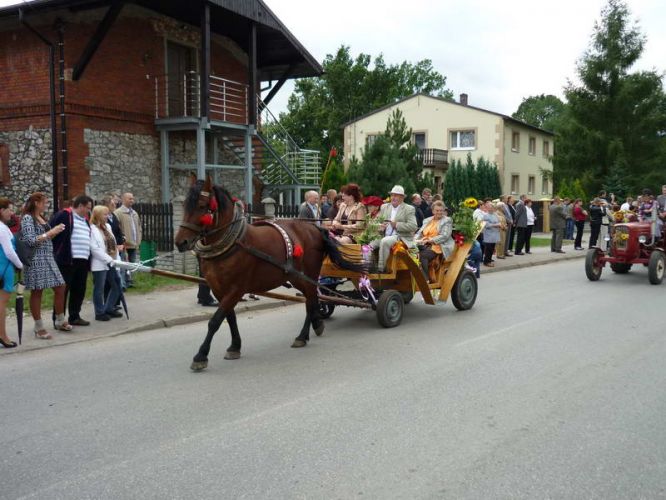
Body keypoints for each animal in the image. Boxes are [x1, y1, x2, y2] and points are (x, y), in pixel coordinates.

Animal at [175, 177, 364, 372]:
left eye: (202, 206)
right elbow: (229, 317)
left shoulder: (236, 289)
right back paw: (314, 326)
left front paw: (201, 355)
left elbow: (215, 321)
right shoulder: (219, 289)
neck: (233, 244)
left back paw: (304, 335)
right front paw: (235, 346)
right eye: (185, 205)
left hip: (309, 275)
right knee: (311, 300)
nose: (181, 242)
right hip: (296, 277)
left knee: (311, 300)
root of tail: (314, 228)